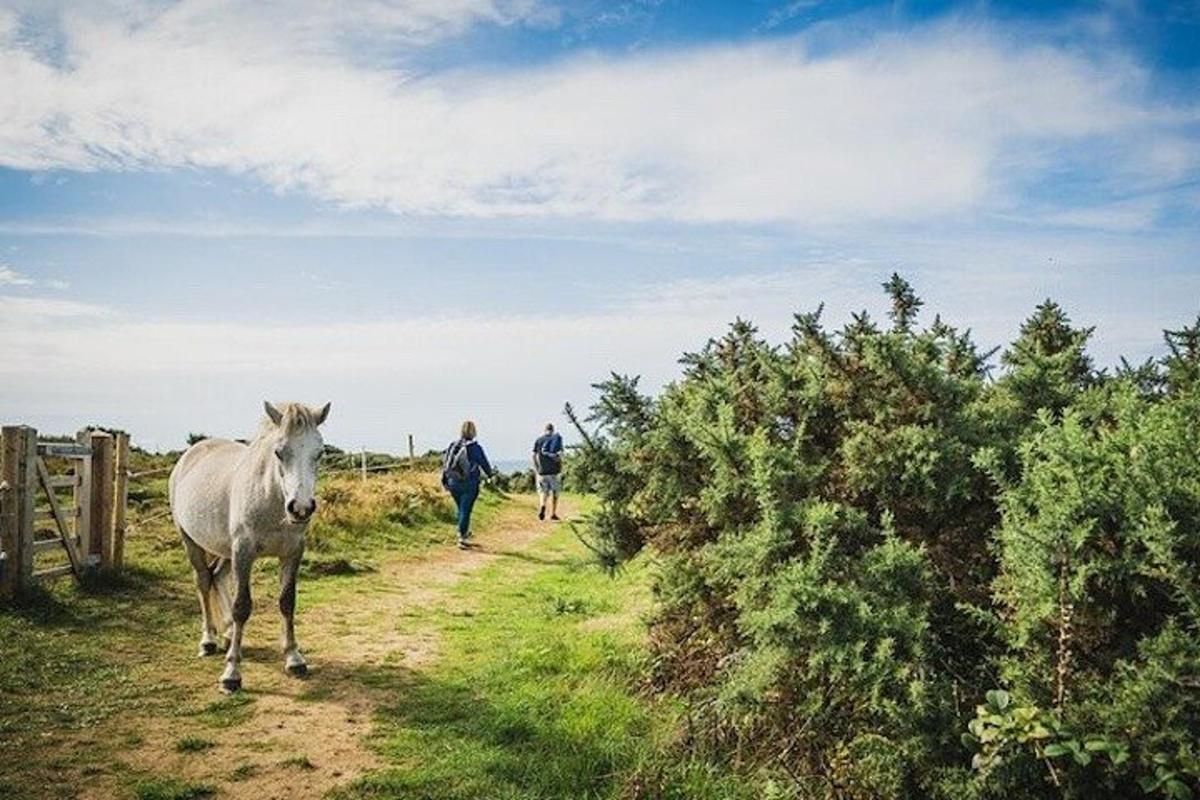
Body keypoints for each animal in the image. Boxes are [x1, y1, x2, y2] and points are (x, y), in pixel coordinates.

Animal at [166, 402, 328, 690]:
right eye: (279, 452)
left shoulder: (292, 553)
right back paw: (208, 640)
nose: (300, 508)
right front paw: (232, 674)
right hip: (192, 542)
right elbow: (241, 607)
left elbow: (287, 602)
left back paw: (229, 633)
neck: (270, 498)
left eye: (319, 453)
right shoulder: (244, 552)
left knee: (218, 576)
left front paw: (294, 659)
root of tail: (191, 454)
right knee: (203, 582)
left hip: (225, 550)